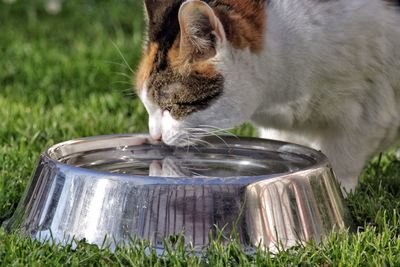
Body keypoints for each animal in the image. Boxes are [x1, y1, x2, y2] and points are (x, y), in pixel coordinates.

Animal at [135, 0, 400, 194]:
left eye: (174, 105)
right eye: (148, 105)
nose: (155, 136)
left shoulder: (366, 106)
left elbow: (343, 157)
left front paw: (341, 190)